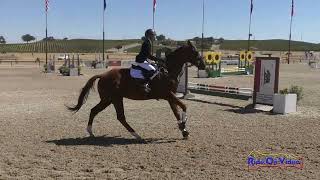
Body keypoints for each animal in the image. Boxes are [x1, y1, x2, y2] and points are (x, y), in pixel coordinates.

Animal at [69, 40, 206, 139]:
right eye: (195, 52)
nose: (203, 66)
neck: (168, 71)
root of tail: (102, 75)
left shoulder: (169, 96)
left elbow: (176, 112)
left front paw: (184, 130)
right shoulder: (167, 94)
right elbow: (184, 106)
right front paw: (183, 124)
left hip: (109, 100)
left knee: (95, 111)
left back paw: (91, 132)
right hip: (114, 98)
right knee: (119, 116)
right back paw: (136, 135)